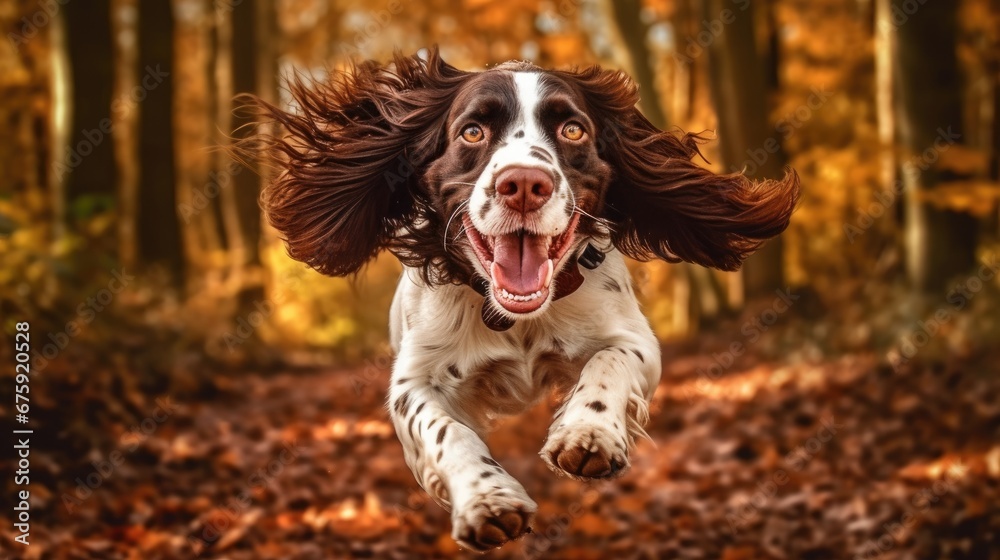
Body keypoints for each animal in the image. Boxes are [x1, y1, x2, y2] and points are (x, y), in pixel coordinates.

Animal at [250, 49, 796, 552]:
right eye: (472, 132)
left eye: (573, 130)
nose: (525, 185)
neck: (514, 317)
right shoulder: (414, 381)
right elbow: (445, 430)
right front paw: (486, 499)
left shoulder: (632, 337)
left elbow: (608, 364)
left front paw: (587, 434)